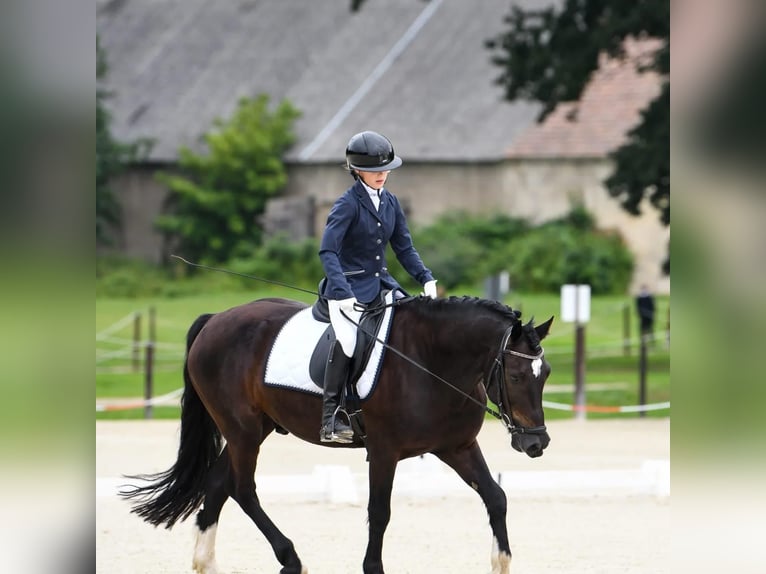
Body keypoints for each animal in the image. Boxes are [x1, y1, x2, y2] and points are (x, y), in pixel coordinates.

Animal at [121, 294, 553, 574]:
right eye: (516, 375)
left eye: (545, 373)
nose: (536, 443)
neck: (431, 360)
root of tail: (216, 319)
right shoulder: (384, 451)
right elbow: (379, 512)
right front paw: (373, 568)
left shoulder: (457, 446)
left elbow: (496, 497)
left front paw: (502, 562)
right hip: (241, 428)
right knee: (243, 489)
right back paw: (291, 559)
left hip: (255, 428)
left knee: (217, 483)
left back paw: (205, 562)